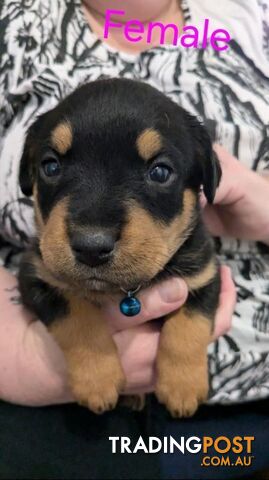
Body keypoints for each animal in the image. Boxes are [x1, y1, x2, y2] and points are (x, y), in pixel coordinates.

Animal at [18, 79, 220, 416]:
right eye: (50, 166)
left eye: (160, 172)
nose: (91, 246)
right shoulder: (37, 276)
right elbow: (77, 317)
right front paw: (98, 381)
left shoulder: (204, 275)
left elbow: (189, 326)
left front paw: (183, 388)